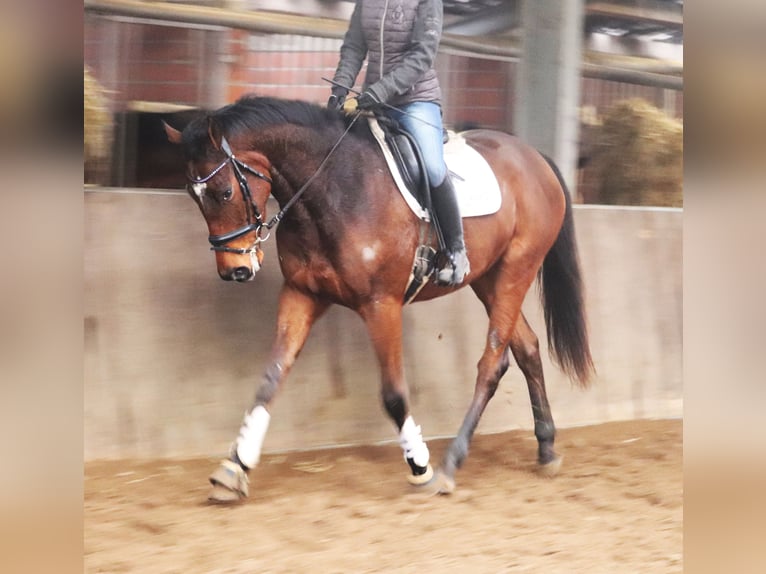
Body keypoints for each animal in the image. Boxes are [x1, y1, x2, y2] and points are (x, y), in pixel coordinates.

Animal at [164, 94, 592, 504]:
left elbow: (393, 394)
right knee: (526, 348)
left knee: (492, 363)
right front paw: (233, 469)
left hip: (517, 269)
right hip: (489, 277)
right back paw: (546, 450)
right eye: (192, 194)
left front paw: (420, 468)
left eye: (223, 192)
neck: (333, 188)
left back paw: (450, 464)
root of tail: (534, 156)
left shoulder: (380, 304)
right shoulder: (303, 294)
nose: (234, 271)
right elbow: (271, 378)